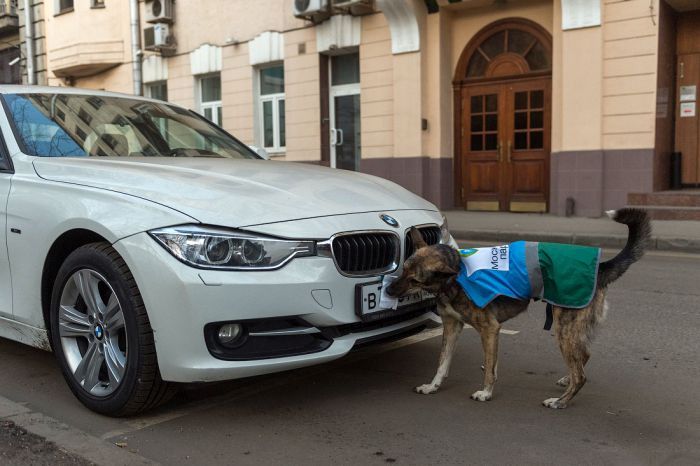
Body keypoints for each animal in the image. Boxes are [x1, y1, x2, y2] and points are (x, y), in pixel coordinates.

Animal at [386, 208, 648, 408]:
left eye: (415, 280)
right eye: (404, 269)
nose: (388, 289)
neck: (455, 275)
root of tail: (602, 267)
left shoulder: (490, 329)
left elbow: (488, 369)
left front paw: (486, 393)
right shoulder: (452, 327)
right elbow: (443, 362)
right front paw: (433, 386)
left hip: (564, 328)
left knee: (581, 375)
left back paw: (560, 402)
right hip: (571, 330)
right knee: (584, 356)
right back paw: (566, 381)